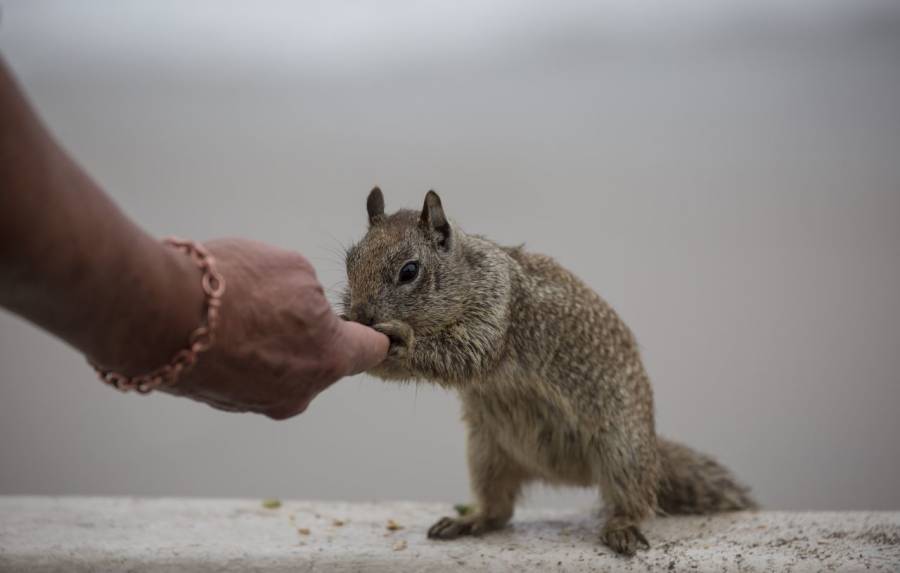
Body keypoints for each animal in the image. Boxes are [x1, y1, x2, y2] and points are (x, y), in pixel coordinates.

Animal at [342, 188, 756, 556]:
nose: (360, 315)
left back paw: (622, 527)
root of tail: (564, 473)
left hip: (624, 452)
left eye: (409, 271)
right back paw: (469, 519)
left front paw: (400, 338)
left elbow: (466, 355)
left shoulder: (497, 310)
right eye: (349, 261)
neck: (469, 274)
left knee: (636, 500)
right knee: (499, 509)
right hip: (486, 452)